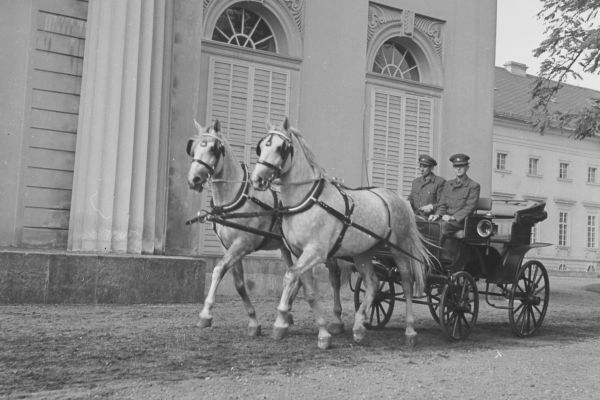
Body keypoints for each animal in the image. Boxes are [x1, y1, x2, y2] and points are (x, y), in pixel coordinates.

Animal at [185, 121, 344, 338]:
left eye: (212, 148)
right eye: (193, 148)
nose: (194, 179)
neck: (237, 197)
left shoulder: (243, 244)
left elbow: (218, 269)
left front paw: (206, 313)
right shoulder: (230, 247)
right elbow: (239, 284)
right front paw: (253, 321)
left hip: (328, 249)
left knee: (334, 277)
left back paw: (336, 319)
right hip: (287, 248)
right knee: (297, 277)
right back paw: (287, 315)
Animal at [251, 117, 428, 348]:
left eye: (281, 148)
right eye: (261, 146)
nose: (257, 179)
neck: (307, 200)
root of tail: (399, 198)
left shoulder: (316, 252)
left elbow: (290, 276)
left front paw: (281, 320)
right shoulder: (300, 254)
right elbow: (307, 290)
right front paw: (322, 332)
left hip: (399, 248)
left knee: (406, 282)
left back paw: (410, 330)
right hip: (362, 253)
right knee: (372, 283)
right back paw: (359, 327)